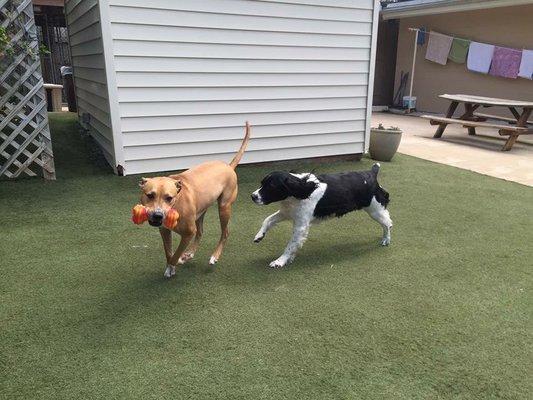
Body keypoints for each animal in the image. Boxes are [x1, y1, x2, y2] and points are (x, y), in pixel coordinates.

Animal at [139, 122, 251, 278]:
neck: (177, 204)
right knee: (200, 231)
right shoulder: (164, 231)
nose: (157, 215)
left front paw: (177, 262)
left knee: (225, 232)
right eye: (150, 195)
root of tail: (228, 166)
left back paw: (214, 256)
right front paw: (171, 267)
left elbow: (175, 254)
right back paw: (190, 253)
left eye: (169, 198)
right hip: (200, 212)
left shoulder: (188, 233)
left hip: (224, 207)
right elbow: (168, 252)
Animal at [249, 162, 390, 268]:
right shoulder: (286, 213)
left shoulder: (301, 226)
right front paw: (259, 236)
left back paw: (386, 240)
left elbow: (290, 244)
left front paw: (280, 261)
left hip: (375, 210)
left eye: (271, 186)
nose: (253, 196)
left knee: (388, 223)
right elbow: (268, 220)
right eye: (262, 183)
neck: (302, 189)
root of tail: (371, 173)